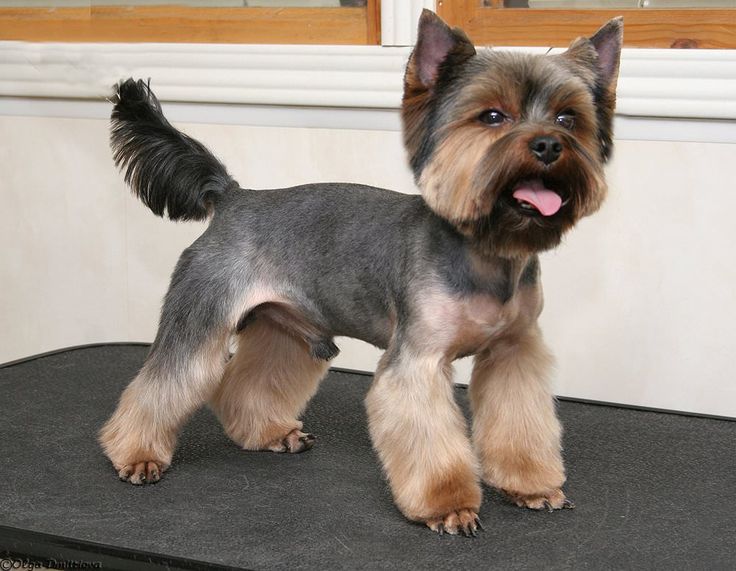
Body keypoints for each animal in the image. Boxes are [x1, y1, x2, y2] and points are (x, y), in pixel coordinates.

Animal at [100, 8, 624, 536]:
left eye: (568, 117)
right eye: (493, 116)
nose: (549, 144)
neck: (487, 249)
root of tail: (233, 197)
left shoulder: (512, 354)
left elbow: (521, 422)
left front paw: (531, 486)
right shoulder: (416, 363)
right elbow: (428, 436)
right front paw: (448, 506)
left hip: (282, 326)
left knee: (246, 382)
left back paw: (268, 432)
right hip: (201, 309)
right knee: (164, 381)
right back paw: (136, 455)